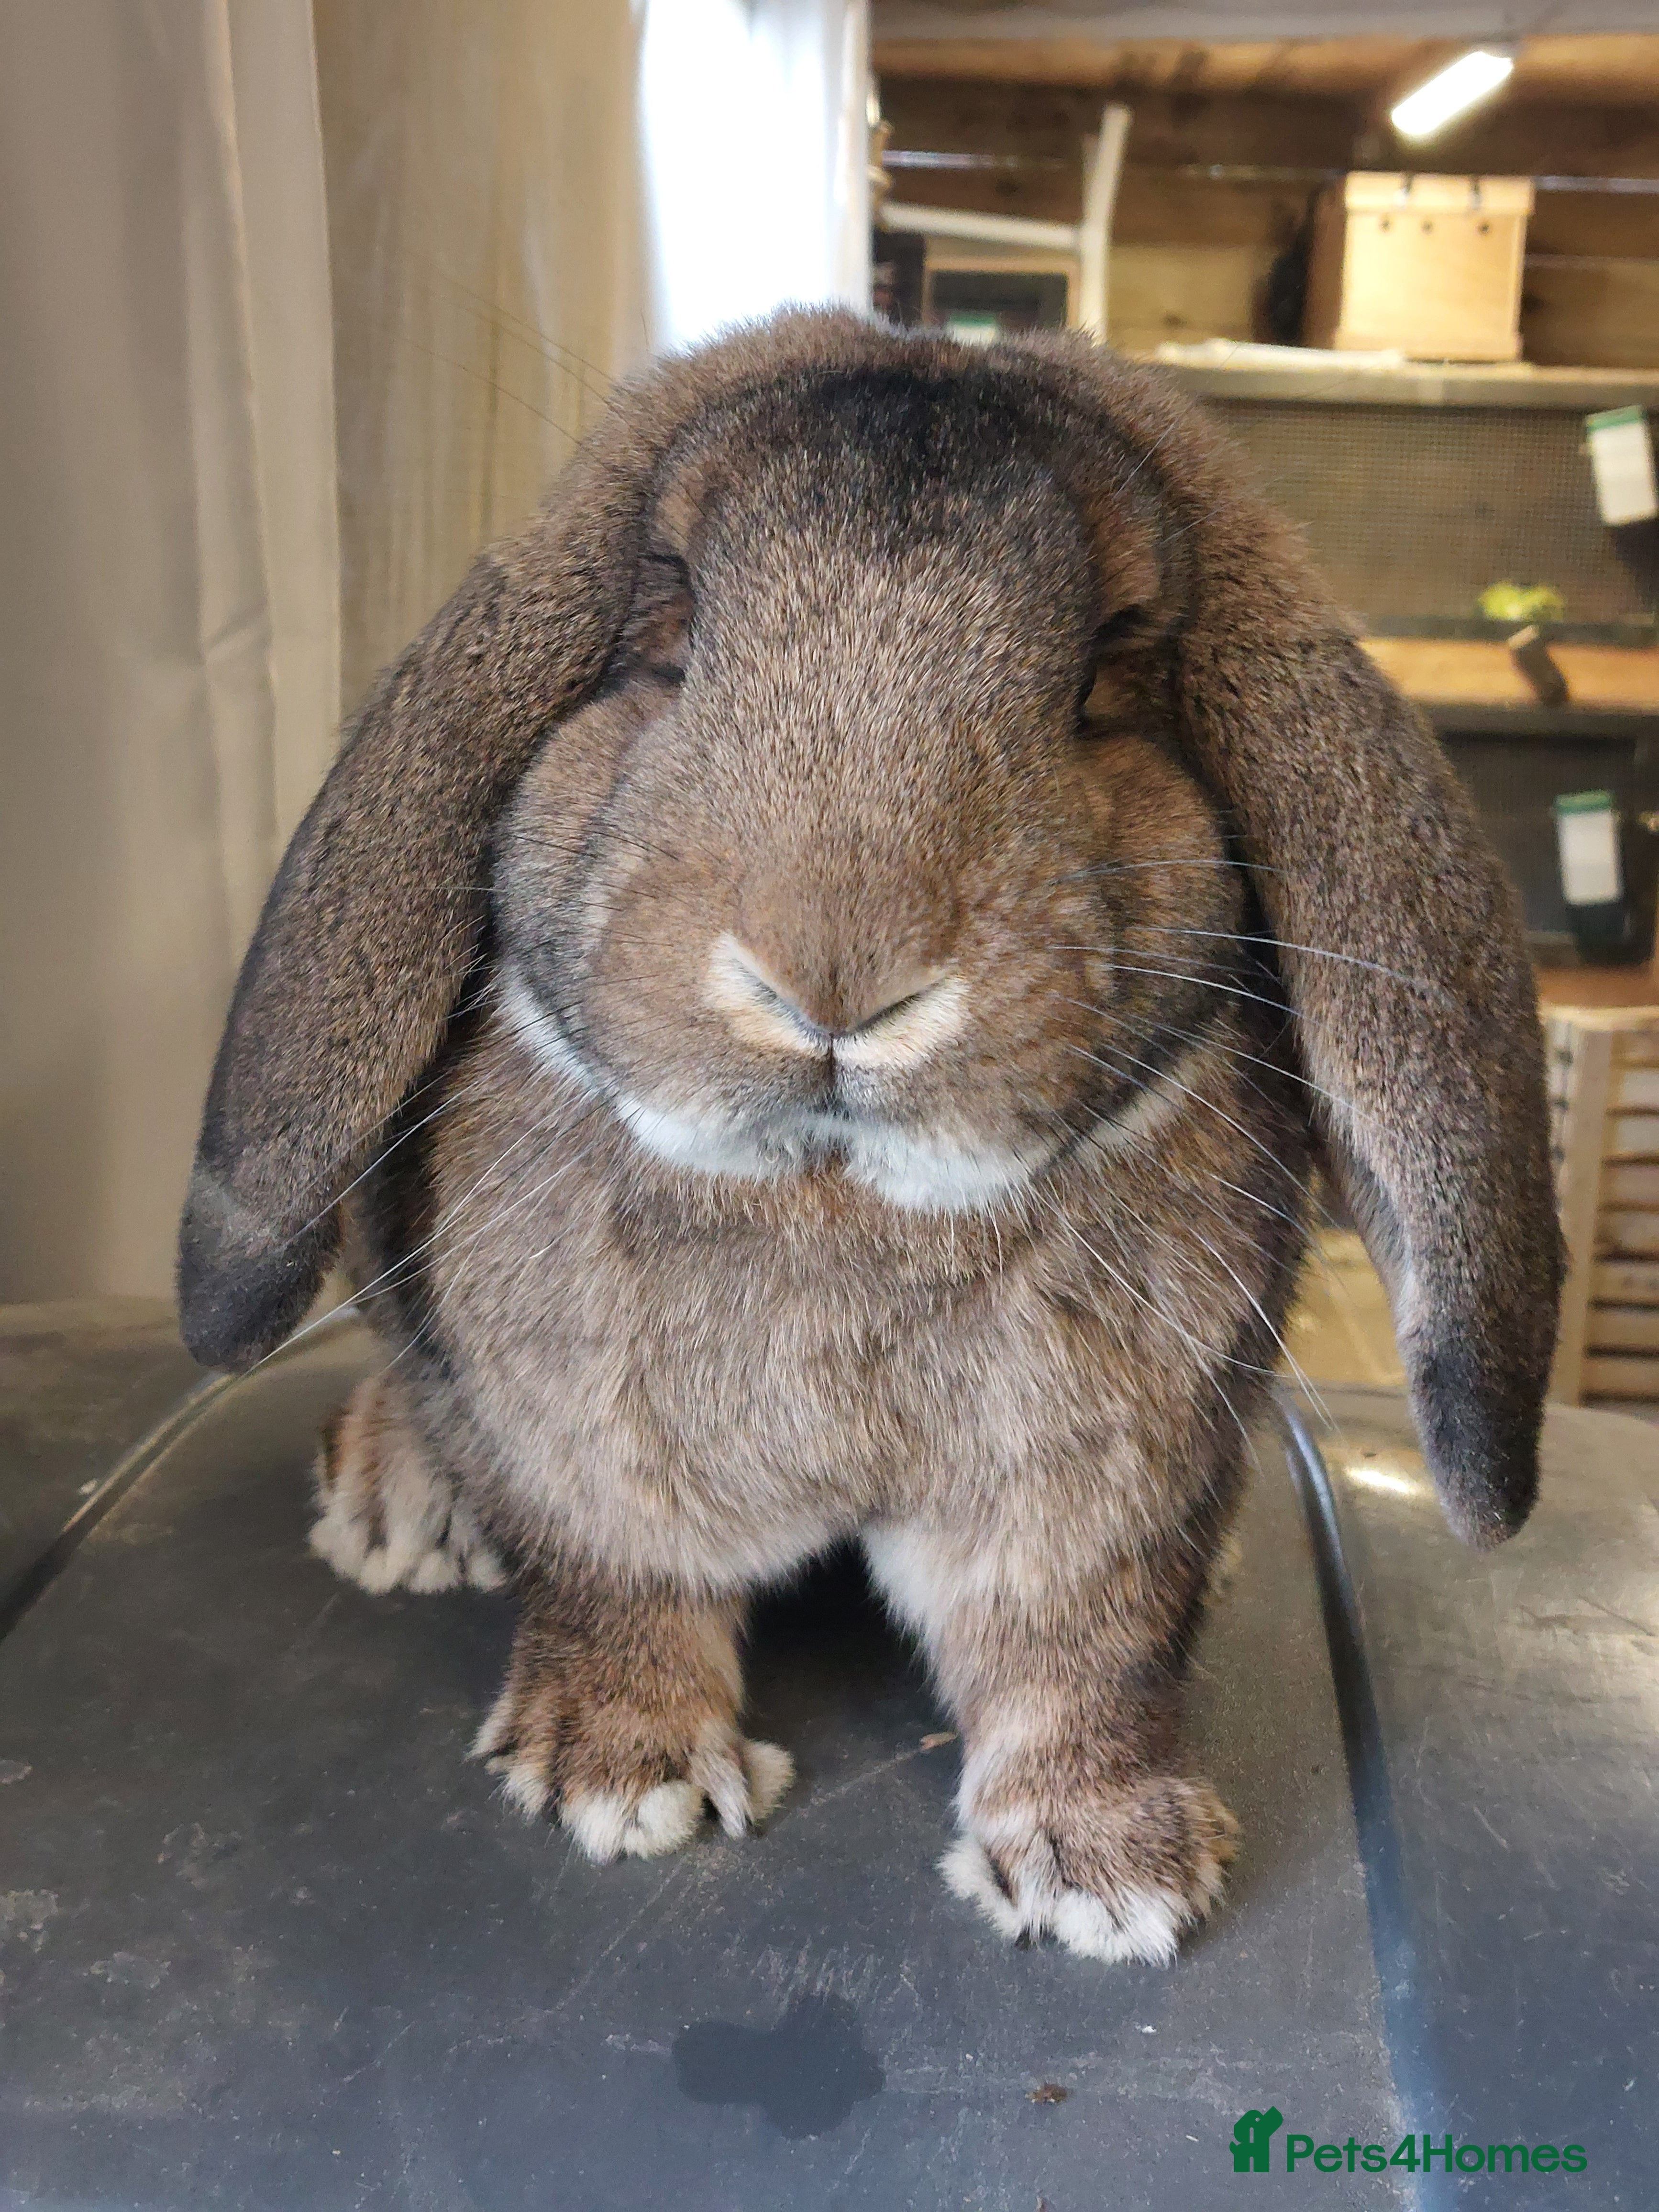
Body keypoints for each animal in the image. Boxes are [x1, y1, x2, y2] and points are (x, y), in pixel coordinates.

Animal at [178, 310, 1560, 1964]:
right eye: (671, 631)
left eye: (1107, 674)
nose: (833, 979)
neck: (839, 1206)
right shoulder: (580, 1453)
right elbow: (609, 1584)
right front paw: (617, 1772)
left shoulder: (1096, 1497)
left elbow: (1078, 1659)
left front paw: (1111, 1869)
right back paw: (396, 1502)